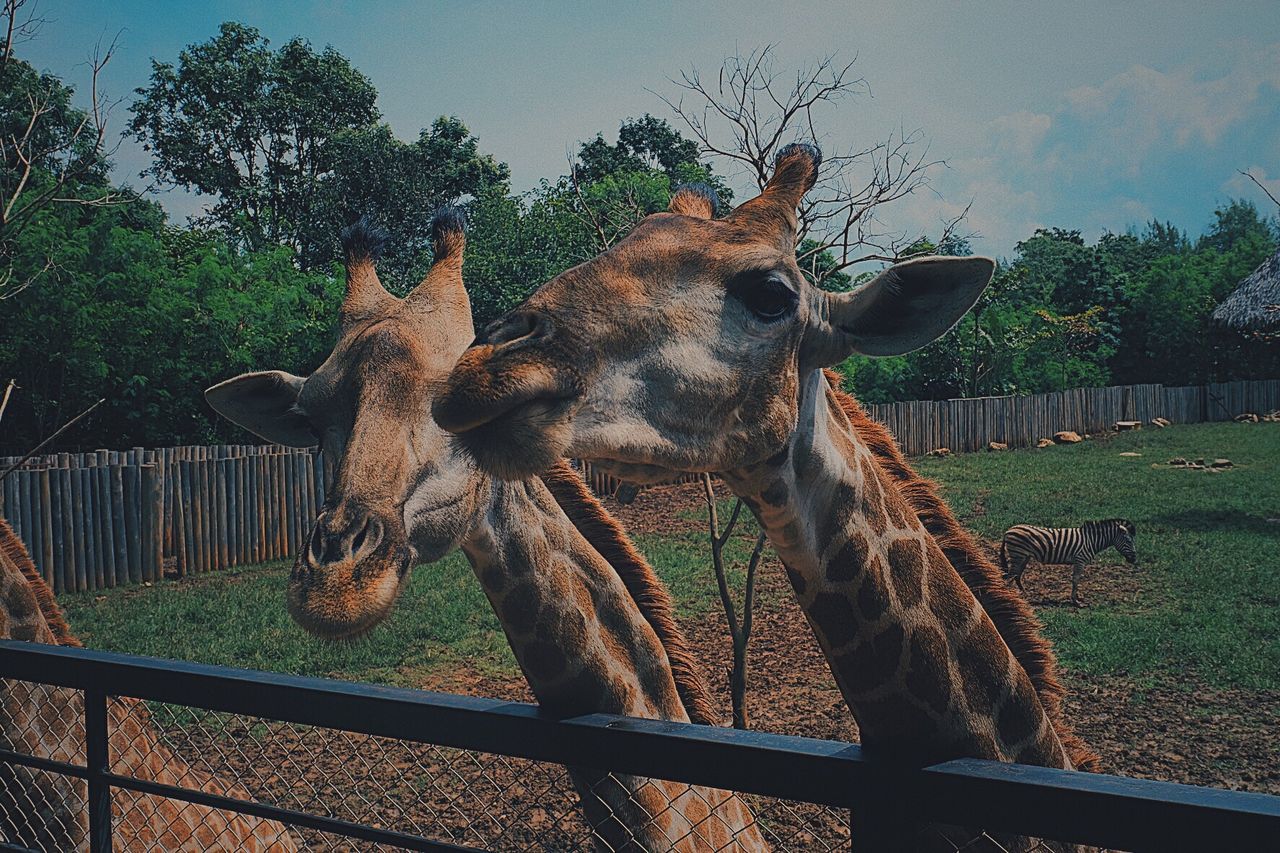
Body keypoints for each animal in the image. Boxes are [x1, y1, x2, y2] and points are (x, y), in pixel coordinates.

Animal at [998, 517, 1141, 604]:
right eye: (1129, 541)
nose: (1134, 559)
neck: (1091, 541)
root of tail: (1008, 531)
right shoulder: (1080, 559)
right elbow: (1076, 579)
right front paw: (1076, 601)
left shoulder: (1079, 560)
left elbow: (1075, 580)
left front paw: (1075, 599)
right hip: (1018, 555)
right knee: (1010, 576)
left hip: (1023, 556)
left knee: (1016, 575)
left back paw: (1024, 595)